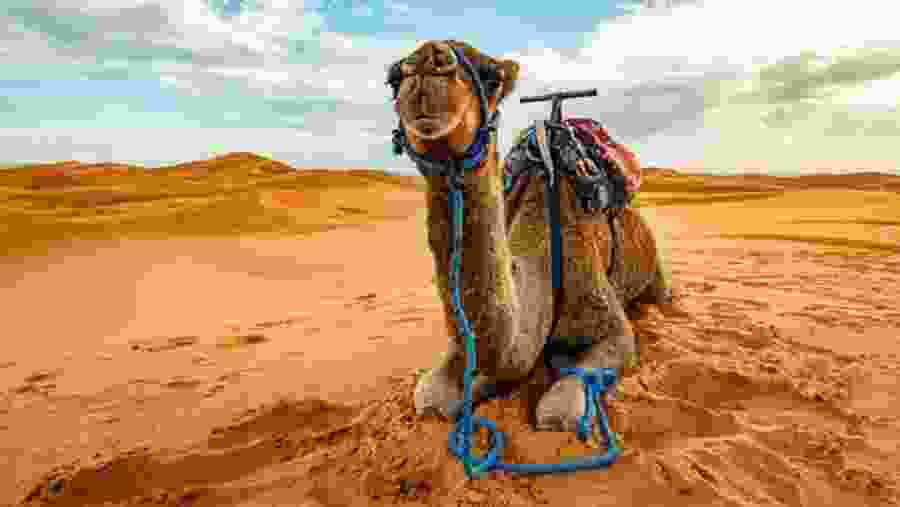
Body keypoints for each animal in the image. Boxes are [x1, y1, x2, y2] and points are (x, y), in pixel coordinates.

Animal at [388, 40, 675, 432]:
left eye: (492, 77)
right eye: (393, 77)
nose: (426, 63)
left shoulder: (608, 320)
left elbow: (559, 410)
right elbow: (433, 396)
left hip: (654, 266)